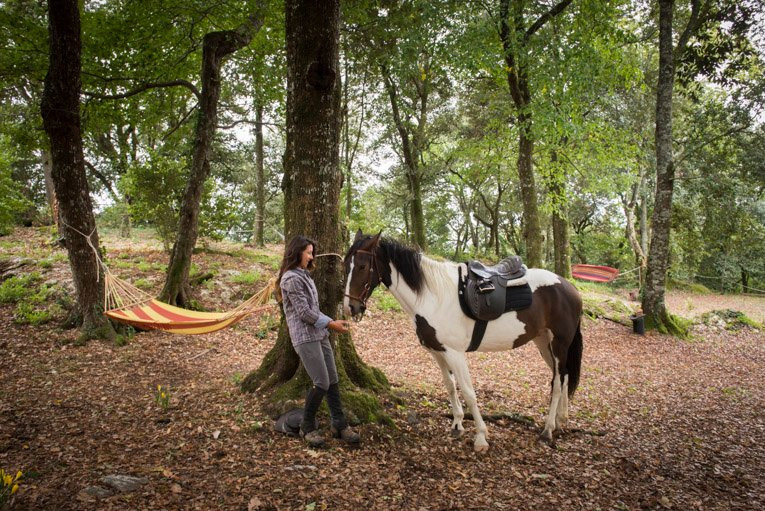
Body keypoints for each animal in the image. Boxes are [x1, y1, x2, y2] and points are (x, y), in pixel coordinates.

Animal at [344, 232, 580, 452]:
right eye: (346, 265)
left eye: (363, 266)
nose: (350, 308)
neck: (433, 297)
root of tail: (568, 286)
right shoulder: (438, 351)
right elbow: (450, 386)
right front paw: (457, 424)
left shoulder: (455, 353)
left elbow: (468, 392)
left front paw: (481, 437)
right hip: (544, 343)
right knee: (564, 377)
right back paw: (561, 420)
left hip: (559, 343)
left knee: (557, 382)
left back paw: (548, 429)